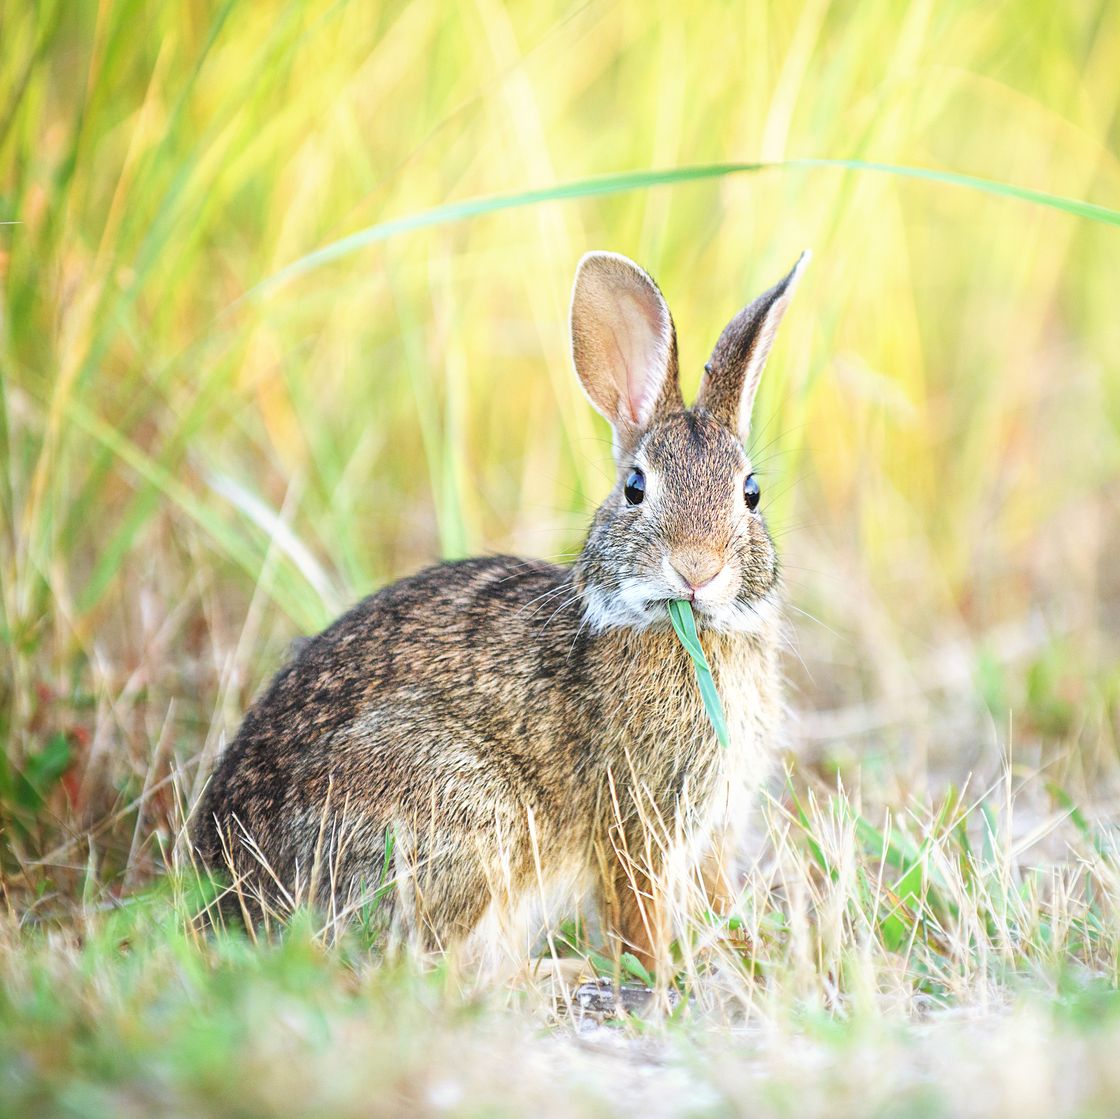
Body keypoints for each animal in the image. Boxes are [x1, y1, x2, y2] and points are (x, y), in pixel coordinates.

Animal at [194, 249, 808, 973]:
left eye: (751, 492)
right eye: (635, 487)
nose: (697, 569)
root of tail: (228, 896)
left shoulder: (713, 823)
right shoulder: (635, 818)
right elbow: (638, 908)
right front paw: (662, 970)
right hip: (459, 812)